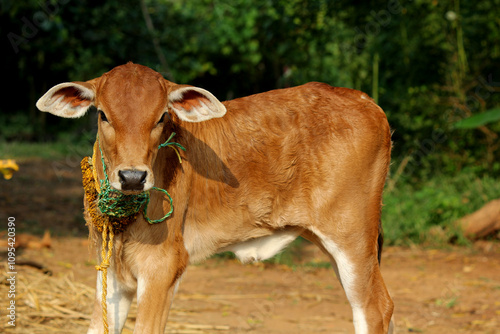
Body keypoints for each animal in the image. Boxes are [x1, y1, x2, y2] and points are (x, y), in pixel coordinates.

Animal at [37, 63, 392, 334]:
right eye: (103, 115)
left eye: (161, 117)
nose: (133, 177)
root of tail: (365, 100)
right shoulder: (110, 272)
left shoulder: (162, 269)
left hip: (352, 236)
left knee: (375, 308)